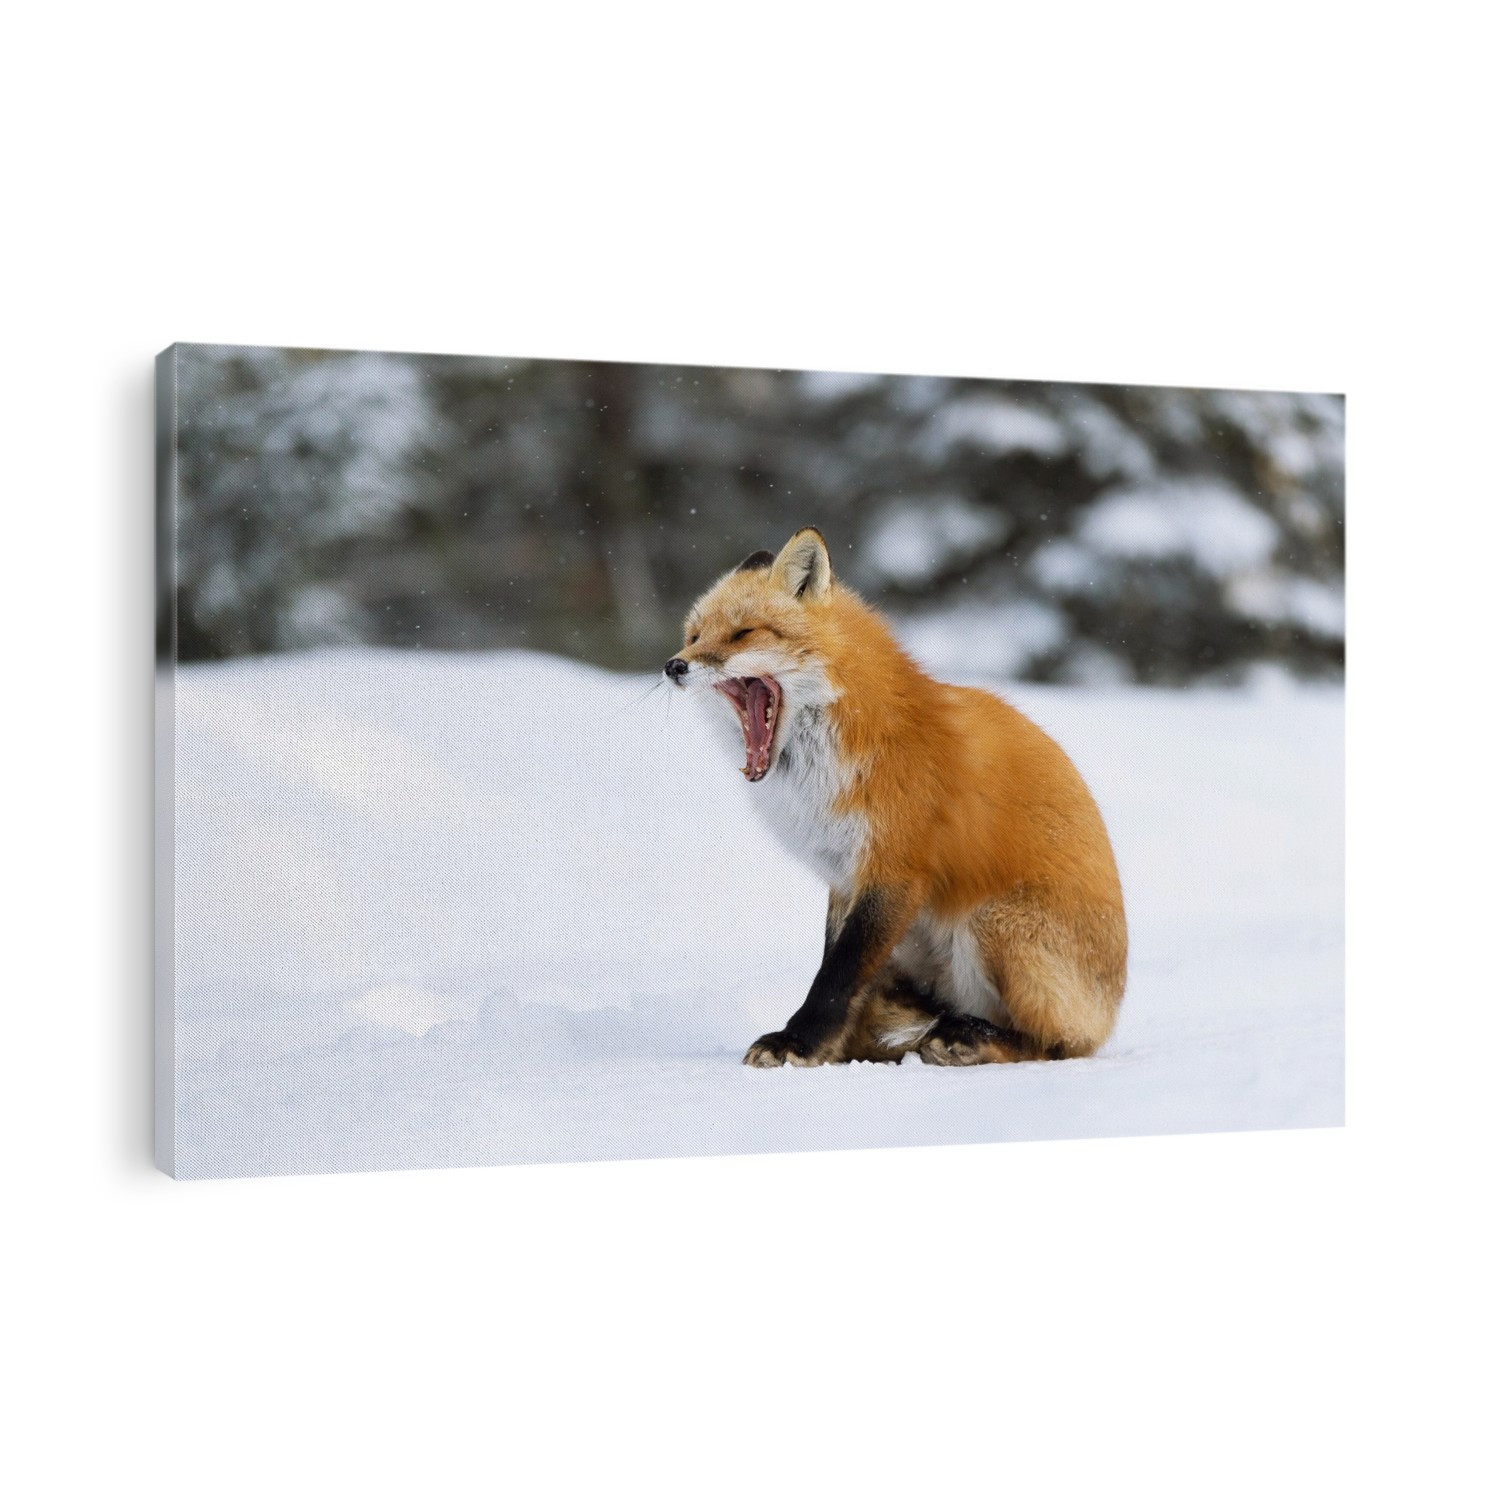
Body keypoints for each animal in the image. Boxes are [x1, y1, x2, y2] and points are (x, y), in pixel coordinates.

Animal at [664, 526, 1127, 1068]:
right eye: (695, 635)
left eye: (743, 634)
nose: (674, 665)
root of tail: (1110, 1013)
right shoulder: (844, 875)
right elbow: (838, 965)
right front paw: (828, 1049)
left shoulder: (895, 870)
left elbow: (838, 973)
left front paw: (797, 1042)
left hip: (994, 922)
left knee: (1056, 1045)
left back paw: (971, 1037)